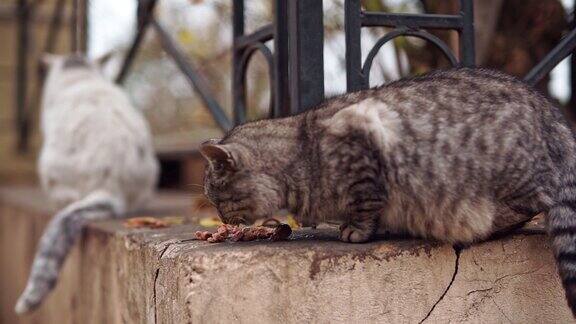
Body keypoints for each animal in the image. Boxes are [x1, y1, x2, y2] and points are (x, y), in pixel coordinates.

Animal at [202, 68, 576, 316]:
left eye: (216, 197)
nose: (219, 217)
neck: (301, 150)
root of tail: (554, 119)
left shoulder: (363, 149)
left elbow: (365, 204)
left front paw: (355, 230)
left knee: (534, 204)